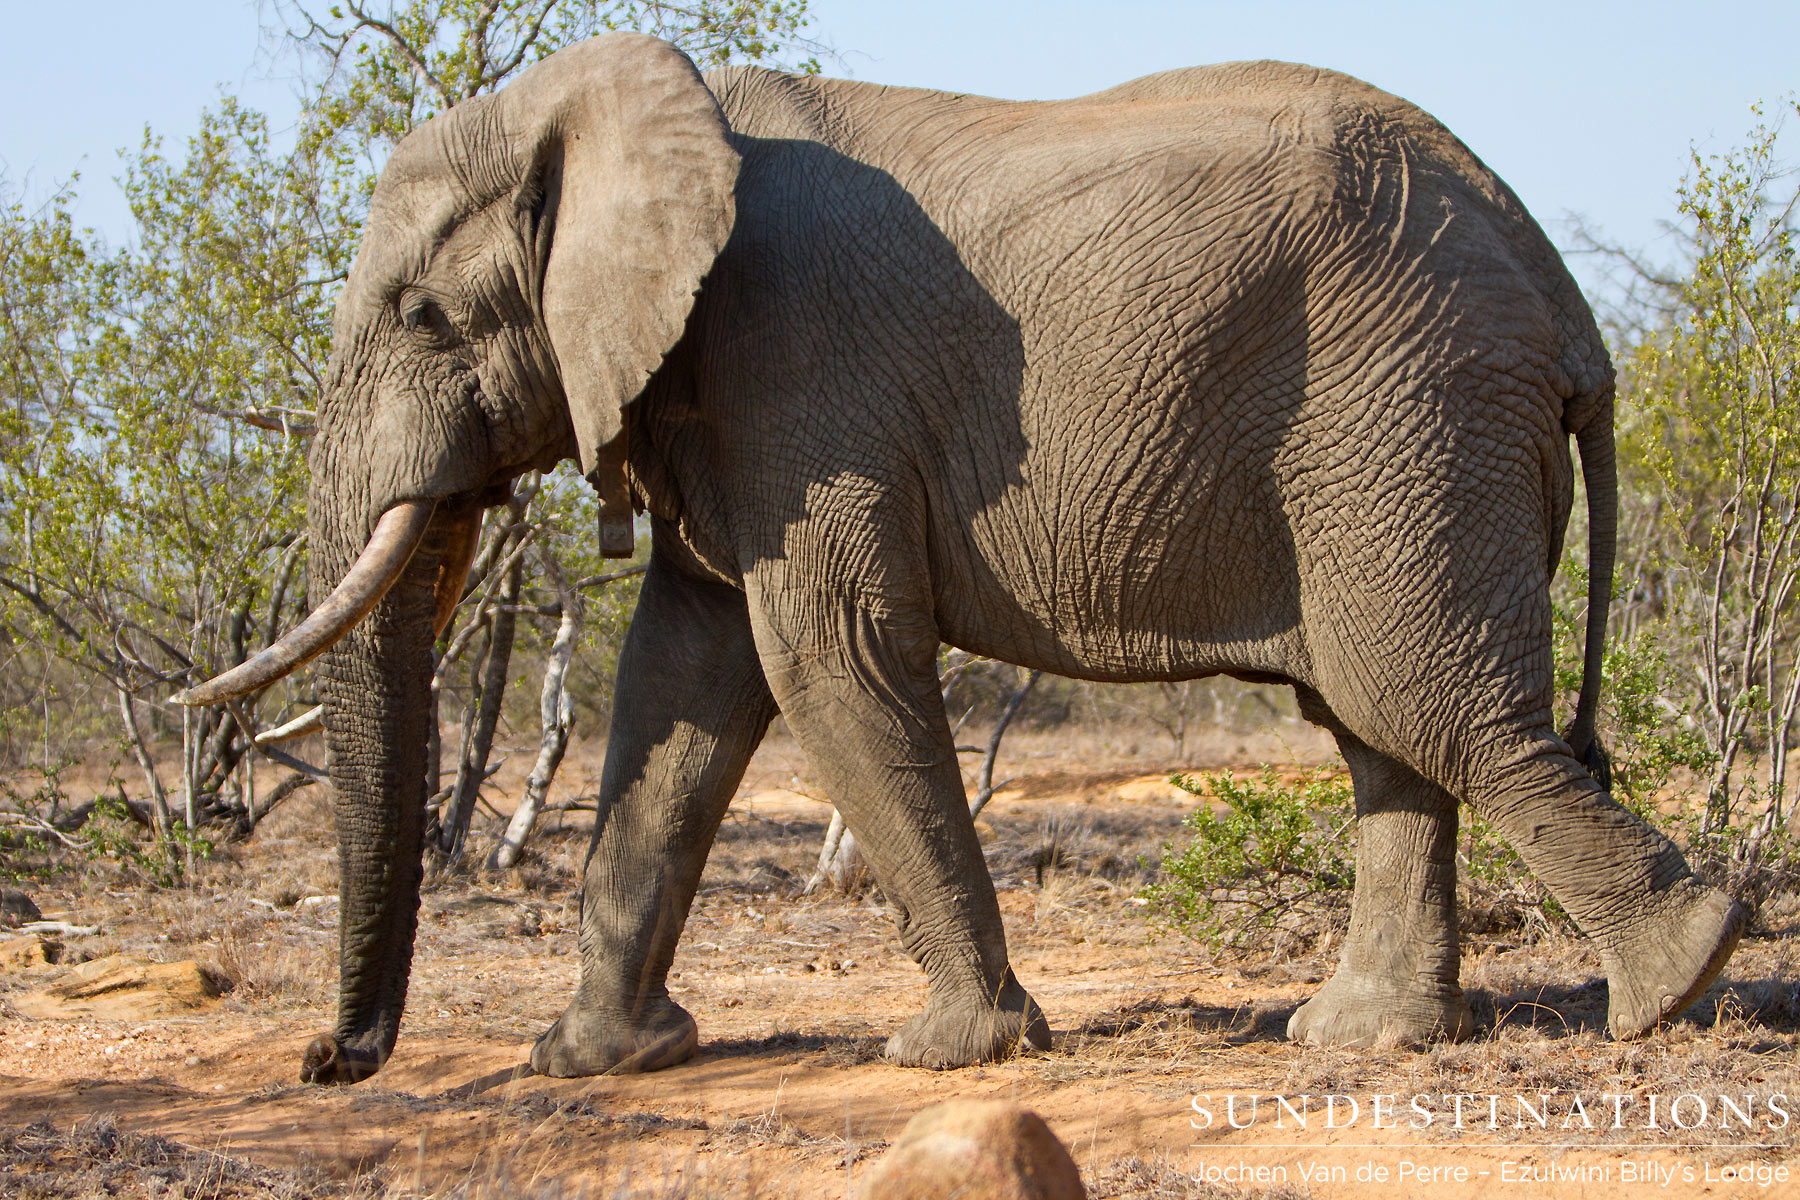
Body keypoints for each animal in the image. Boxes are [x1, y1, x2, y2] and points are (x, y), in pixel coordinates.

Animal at [179, 33, 1747, 1085]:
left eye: (422, 313)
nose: (328, 1062)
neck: (628, 106)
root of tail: (1567, 305)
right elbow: (681, 684)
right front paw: (595, 1062)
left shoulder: (802, 371)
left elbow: (829, 657)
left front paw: (952, 1055)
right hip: (1402, 438)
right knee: (1382, 725)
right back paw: (1371, 1037)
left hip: (1410, 417)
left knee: (1431, 704)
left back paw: (1681, 981)